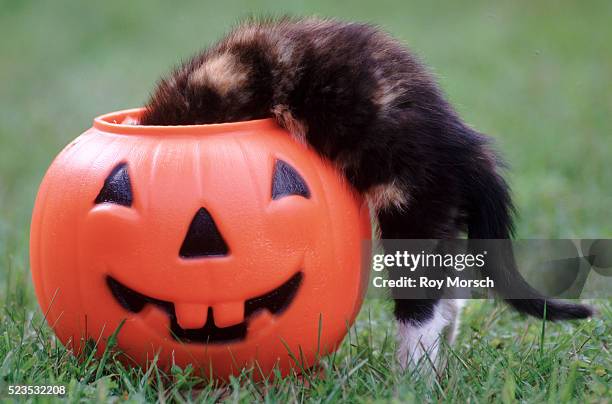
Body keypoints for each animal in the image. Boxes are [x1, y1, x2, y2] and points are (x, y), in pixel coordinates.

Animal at [140, 15, 592, 370]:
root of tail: (470, 149)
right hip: (442, 217)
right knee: (451, 298)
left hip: (413, 206)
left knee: (422, 307)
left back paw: (411, 377)